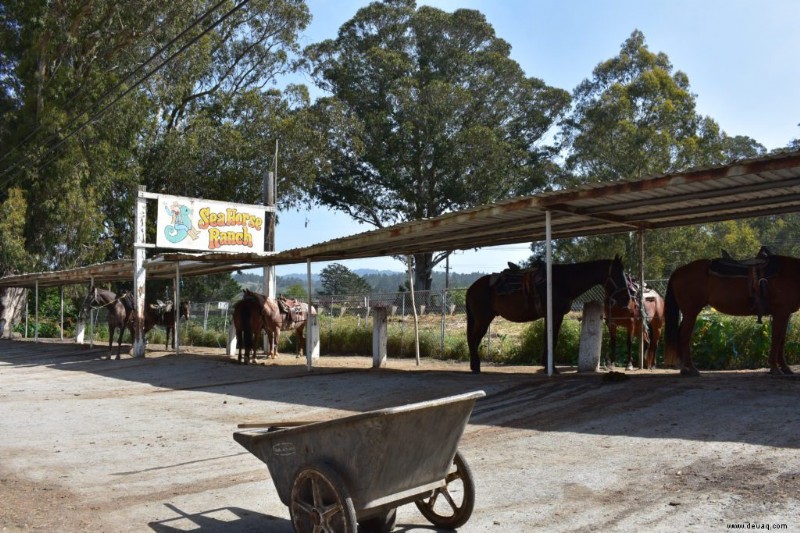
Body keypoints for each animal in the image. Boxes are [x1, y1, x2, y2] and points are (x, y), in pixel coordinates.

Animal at [664, 252, 800, 374]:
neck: (790, 273)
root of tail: (679, 270)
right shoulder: (781, 312)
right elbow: (777, 337)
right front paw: (775, 368)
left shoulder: (785, 314)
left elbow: (782, 338)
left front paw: (785, 368)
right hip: (690, 313)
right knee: (684, 336)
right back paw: (691, 369)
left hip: (688, 314)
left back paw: (684, 369)